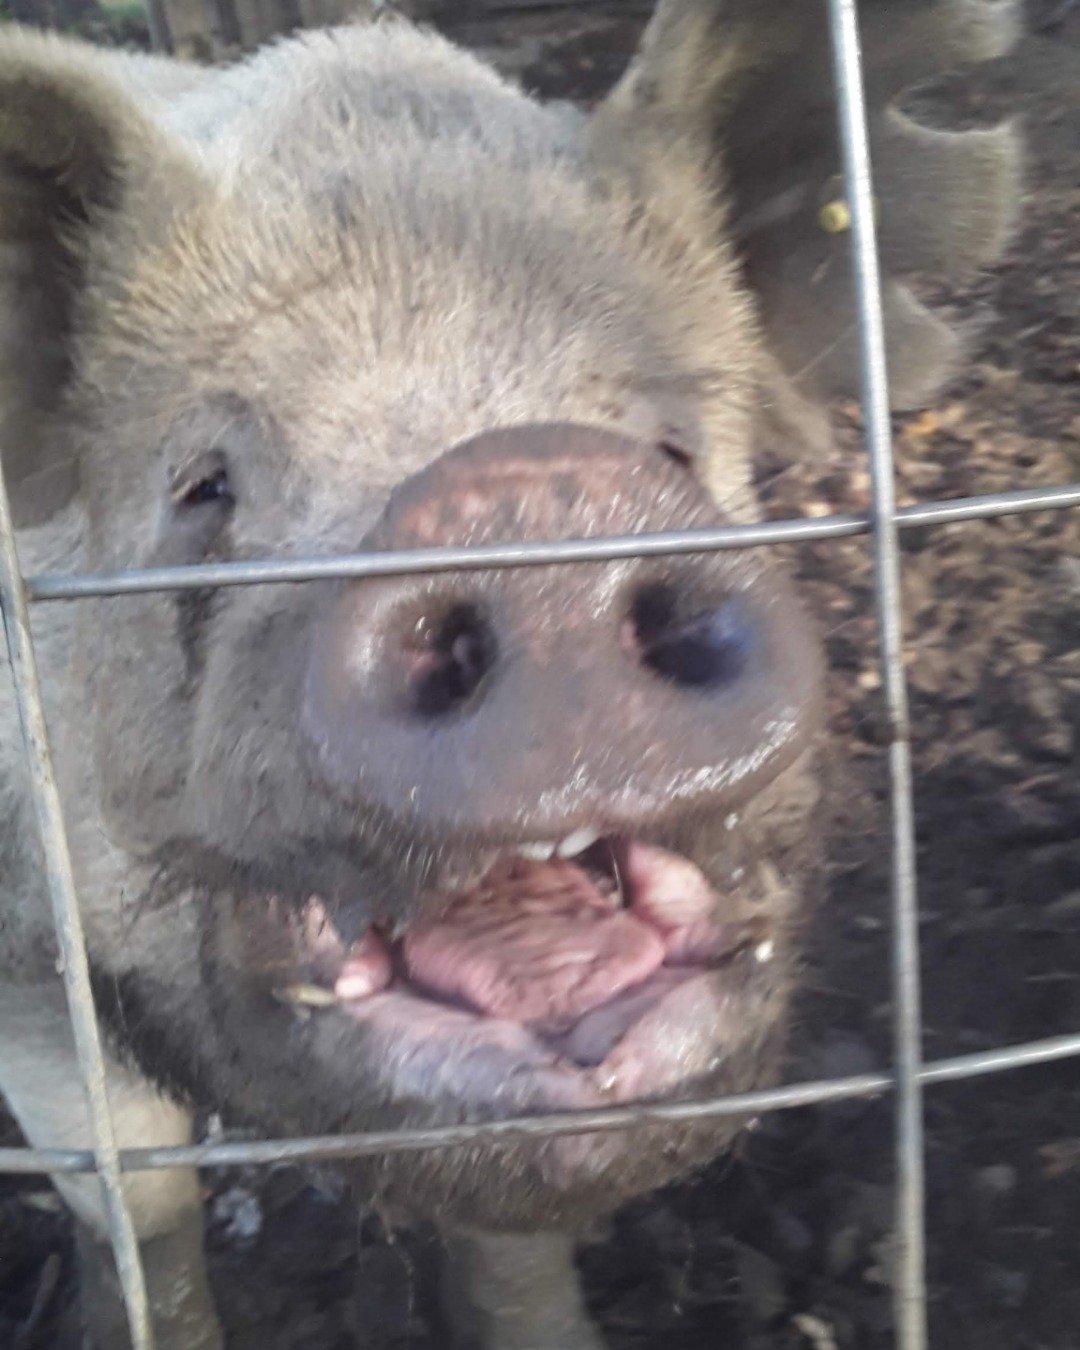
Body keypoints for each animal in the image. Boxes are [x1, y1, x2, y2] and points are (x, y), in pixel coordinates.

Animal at [0, 2, 1021, 1346]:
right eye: (202, 485)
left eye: (672, 447)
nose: (529, 487)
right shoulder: (23, 967)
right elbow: (136, 1192)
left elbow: (511, 1244)